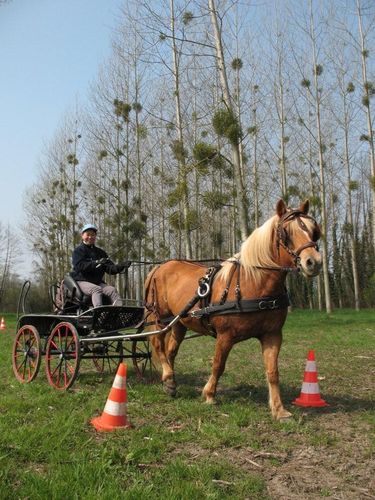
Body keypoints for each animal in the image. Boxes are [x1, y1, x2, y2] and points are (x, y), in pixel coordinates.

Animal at [144, 199, 324, 418]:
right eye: (286, 233)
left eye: (315, 231)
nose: (313, 262)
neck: (253, 283)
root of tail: (159, 267)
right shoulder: (225, 336)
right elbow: (218, 365)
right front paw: (209, 395)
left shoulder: (272, 335)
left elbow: (273, 371)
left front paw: (279, 409)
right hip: (159, 317)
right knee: (158, 344)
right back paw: (168, 376)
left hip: (180, 322)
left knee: (171, 351)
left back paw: (170, 382)